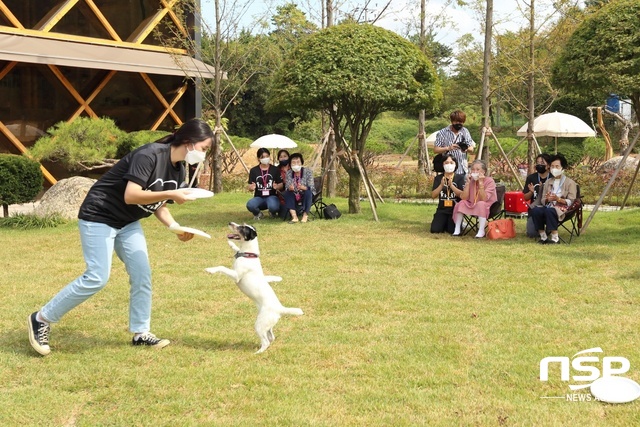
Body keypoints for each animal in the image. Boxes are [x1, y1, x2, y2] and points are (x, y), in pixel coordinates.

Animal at [206, 222, 304, 352]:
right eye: (242, 224)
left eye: (242, 228)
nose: (230, 223)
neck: (248, 255)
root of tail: (280, 309)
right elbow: (236, 249)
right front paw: (231, 244)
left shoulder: (236, 276)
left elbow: (222, 267)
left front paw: (210, 270)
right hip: (267, 324)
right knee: (271, 337)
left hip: (259, 324)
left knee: (266, 342)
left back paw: (258, 352)